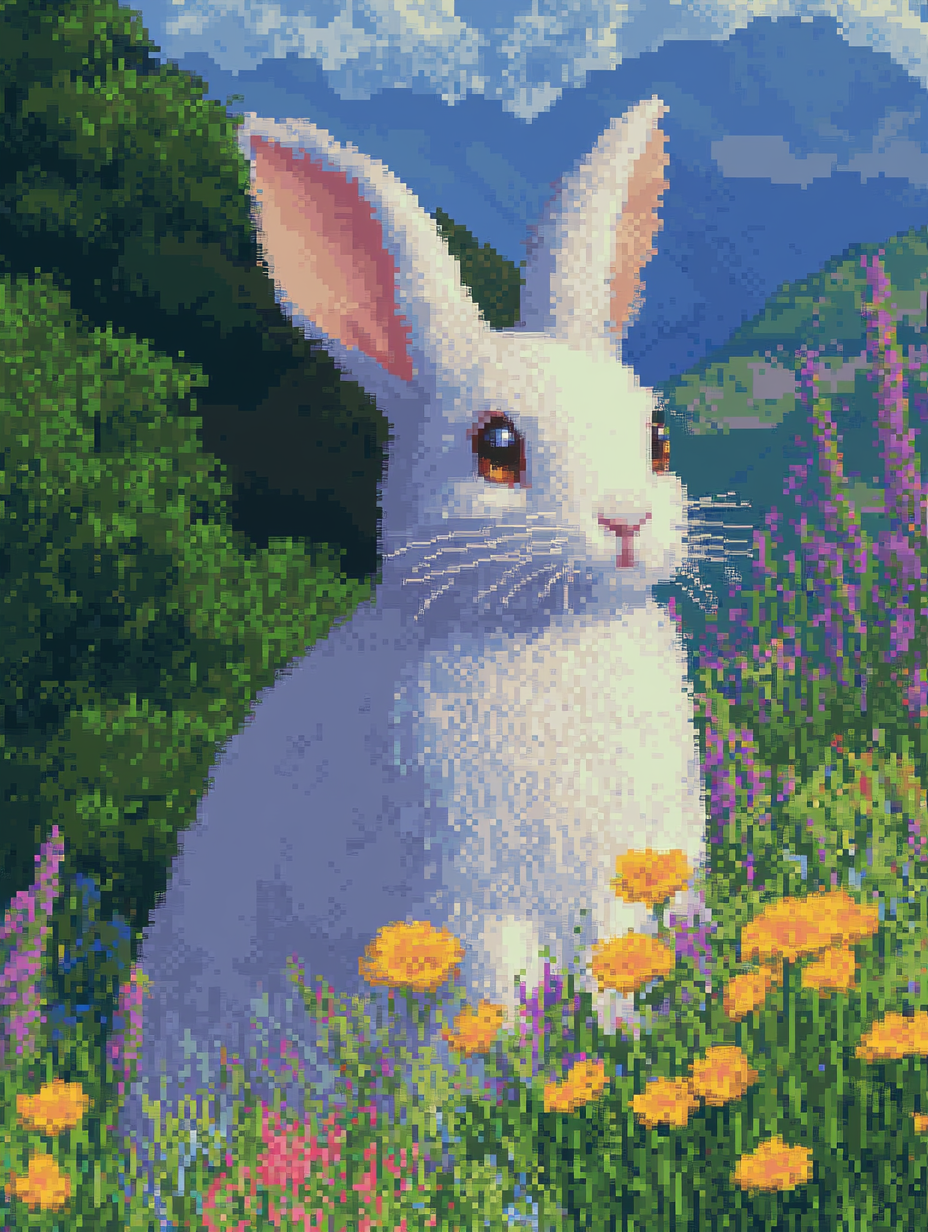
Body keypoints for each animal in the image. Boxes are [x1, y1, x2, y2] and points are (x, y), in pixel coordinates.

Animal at [118, 98, 708, 1154]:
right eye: (497, 447)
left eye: (655, 437)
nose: (628, 522)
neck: (547, 626)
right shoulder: (471, 901)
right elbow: (496, 1003)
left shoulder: (639, 880)